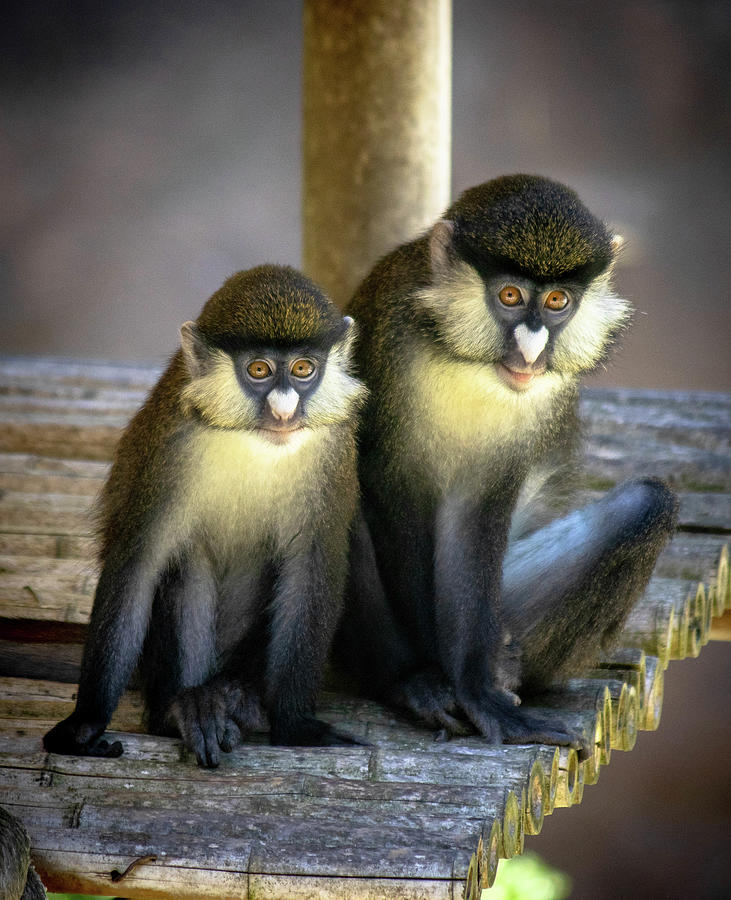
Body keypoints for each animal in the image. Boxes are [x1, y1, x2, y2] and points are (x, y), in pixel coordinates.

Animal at [41, 264, 366, 764]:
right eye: (258, 369)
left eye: (303, 368)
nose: (284, 410)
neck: (250, 437)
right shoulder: (170, 447)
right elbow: (139, 565)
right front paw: (85, 724)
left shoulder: (334, 448)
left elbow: (310, 568)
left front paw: (295, 724)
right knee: (185, 566)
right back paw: (186, 710)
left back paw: (236, 698)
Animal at [340, 172, 676, 748]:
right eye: (511, 295)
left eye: (558, 299)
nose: (531, 349)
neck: (464, 360)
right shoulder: (392, 340)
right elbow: (390, 497)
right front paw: (426, 680)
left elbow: (477, 516)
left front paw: (477, 687)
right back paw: (404, 680)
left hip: (512, 613)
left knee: (648, 505)